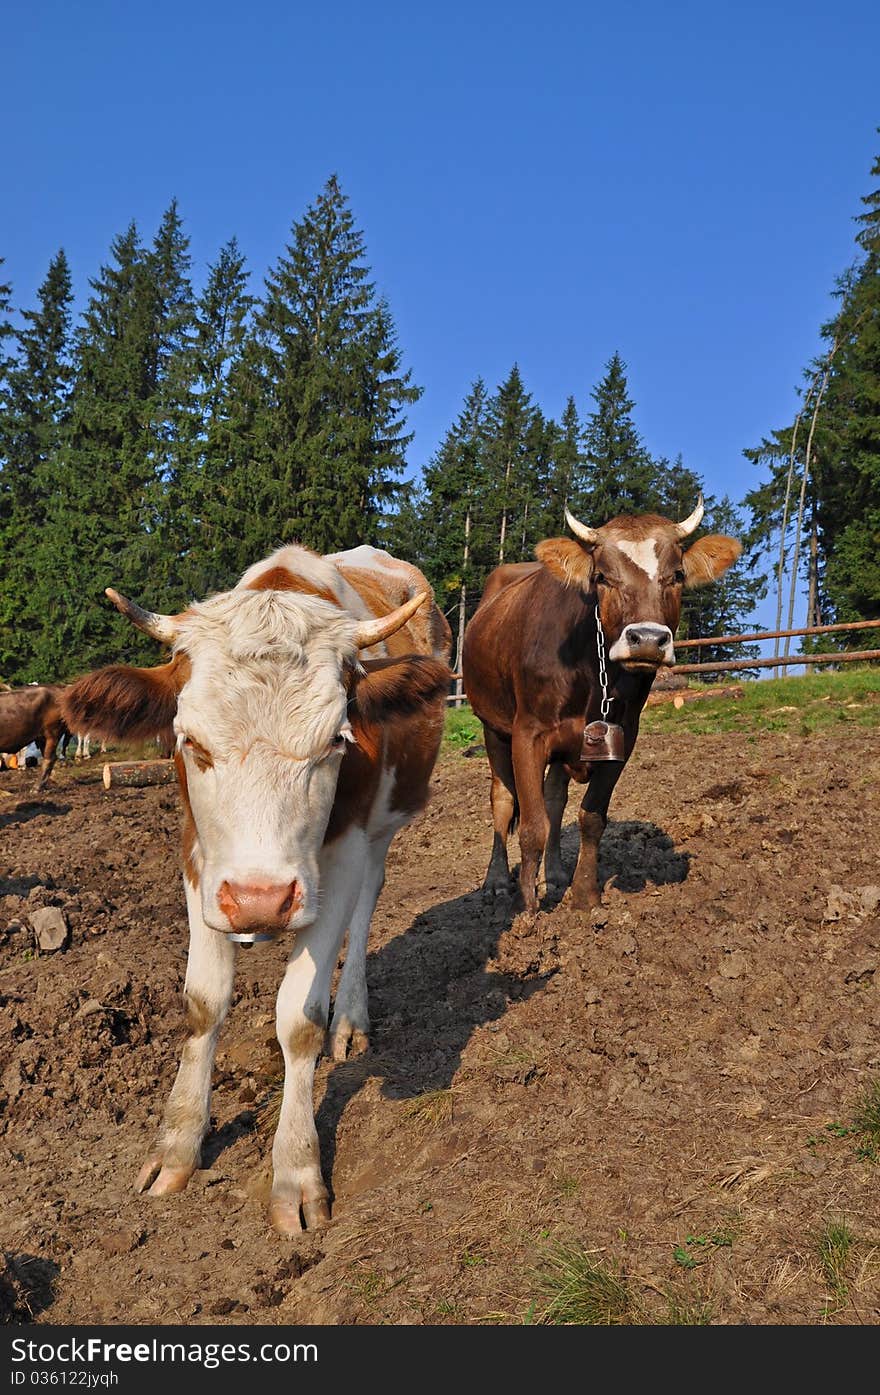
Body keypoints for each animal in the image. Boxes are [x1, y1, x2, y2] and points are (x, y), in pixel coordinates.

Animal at [60, 541, 454, 1233]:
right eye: (190, 742)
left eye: (337, 740)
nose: (259, 901)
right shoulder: (199, 853)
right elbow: (202, 1002)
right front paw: (177, 1145)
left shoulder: (339, 856)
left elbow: (299, 1019)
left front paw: (296, 1171)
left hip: (383, 826)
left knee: (366, 907)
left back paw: (351, 1018)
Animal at [460, 502, 741, 915]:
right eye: (601, 577)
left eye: (677, 575)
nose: (647, 639)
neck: (591, 670)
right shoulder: (529, 732)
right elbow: (531, 825)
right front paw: (527, 913)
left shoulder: (622, 734)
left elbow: (590, 816)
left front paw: (584, 895)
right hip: (492, 725)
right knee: (503, 798)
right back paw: (496, 882)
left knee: (554, 799)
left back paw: (556, 875)